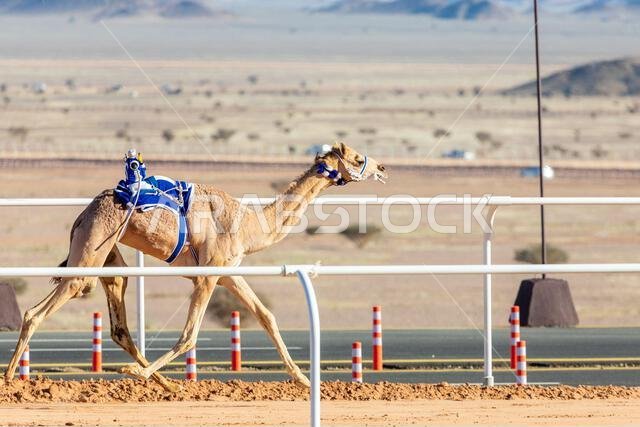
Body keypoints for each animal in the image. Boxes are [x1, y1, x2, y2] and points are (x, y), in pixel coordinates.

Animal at [4, 142, 387, 391]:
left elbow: (266, 316)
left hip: (107, 254)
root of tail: (82, 214)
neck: (250, 225)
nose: (382, 167)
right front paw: (138, 375)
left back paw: (165, 383)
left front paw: (305, 379)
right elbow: (189, 335)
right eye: (356, 157)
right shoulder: (207, 276)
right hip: (92, 247)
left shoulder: (228, 273)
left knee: (118, 316)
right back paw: (10, 378)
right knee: (42, 308)